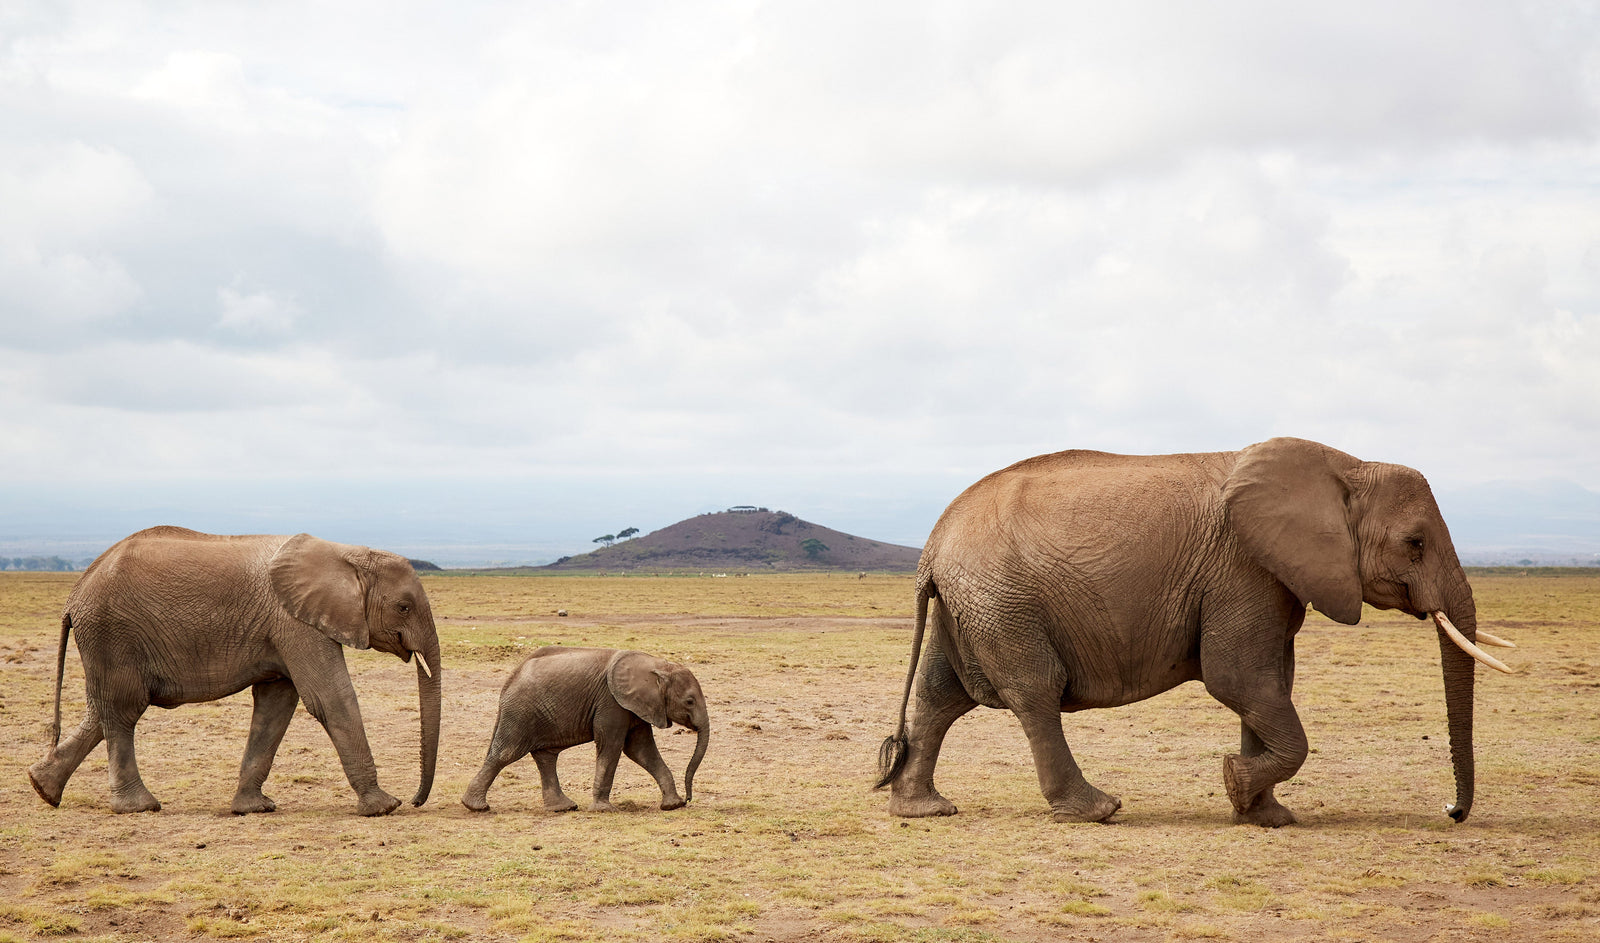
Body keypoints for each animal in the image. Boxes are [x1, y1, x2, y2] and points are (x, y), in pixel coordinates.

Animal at [27, 526, 442, 816]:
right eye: (404, 607)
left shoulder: (285, 629)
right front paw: (384, 807)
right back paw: (139, 807)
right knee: (123, 710)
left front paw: (253, 809)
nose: (417, 801)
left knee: (102, 711)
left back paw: (43, 789)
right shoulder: (295, 623)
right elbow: (330, 699)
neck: (347, 552)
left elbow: (276, 707)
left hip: (106, 641)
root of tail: (74, 595)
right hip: (112, 634)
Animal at [462, 647, 709, 813]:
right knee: (506, 754)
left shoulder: (636, 706)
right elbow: (612, 746)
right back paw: (476, 807)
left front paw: (672, 805)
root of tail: (509, 681)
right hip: (520, 712)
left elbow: (641, 750)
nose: (689, 799)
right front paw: (604, 810)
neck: (656, 665)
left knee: (545, 757)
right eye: (689, 701)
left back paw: (563, 808)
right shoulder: (611, 702)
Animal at [876, 437, 1515, 827]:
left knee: (939, 695)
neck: (1344, 464)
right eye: (1415, 543)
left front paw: (1264, 817)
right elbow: (1239, 680)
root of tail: (931, 546)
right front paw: (1237, 786)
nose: (1451, 811)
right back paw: (1097, 810)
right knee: (1035, 692)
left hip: (972, 604)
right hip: (1003, 602)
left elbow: (1270, 684)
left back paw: (924, 810)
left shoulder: (1268, 577)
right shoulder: (1242, 571)